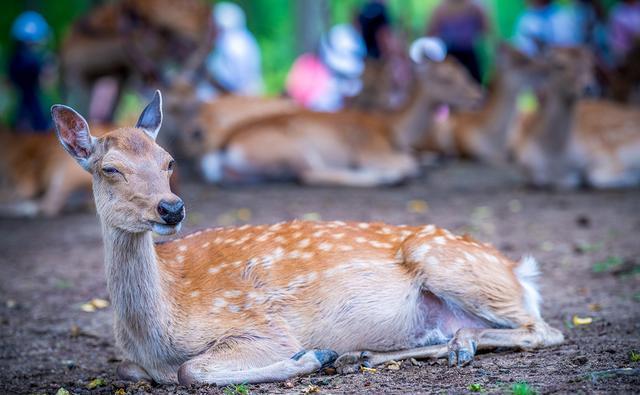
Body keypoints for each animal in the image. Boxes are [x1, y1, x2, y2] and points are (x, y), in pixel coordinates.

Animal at [50, 90, 564, 386]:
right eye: (109, 168)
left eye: (168, 160)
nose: (171, 208)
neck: (157, 331)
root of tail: (520, 271)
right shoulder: (133, 360)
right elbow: (135, 369)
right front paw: (325, 356)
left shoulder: (264, 325)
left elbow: (190, 370)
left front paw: (312, 356)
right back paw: (374, 354)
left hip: (449, 261)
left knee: (545, 329)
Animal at [198, 38, 482, 187]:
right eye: (446, 77)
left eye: (463, 70)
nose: (477, 96)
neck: (393, 127)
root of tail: (221, 148)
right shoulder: (371, 150)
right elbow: (408, 162)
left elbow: (422, 156)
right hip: (295, 148)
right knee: (308, 174)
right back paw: (386, 177)